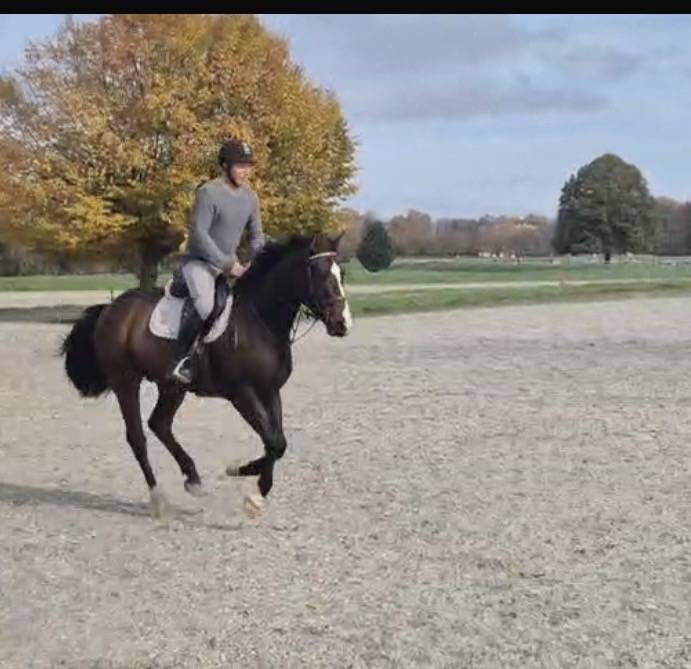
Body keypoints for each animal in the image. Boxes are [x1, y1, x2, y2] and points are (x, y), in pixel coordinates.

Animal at [60, 233, 352, 518]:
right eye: (320, 274)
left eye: (342, 274)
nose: (342, 324)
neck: (260, 319)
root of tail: (111, 308)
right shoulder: (242, 393)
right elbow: (273, 441)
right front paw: (242, 475)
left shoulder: (270, 391)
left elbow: (276, 442)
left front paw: (255, 490)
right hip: (126, 381)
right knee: (137, 437)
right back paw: (158, 499)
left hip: (172, 386)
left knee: (159, 424)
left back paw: (193, 479)